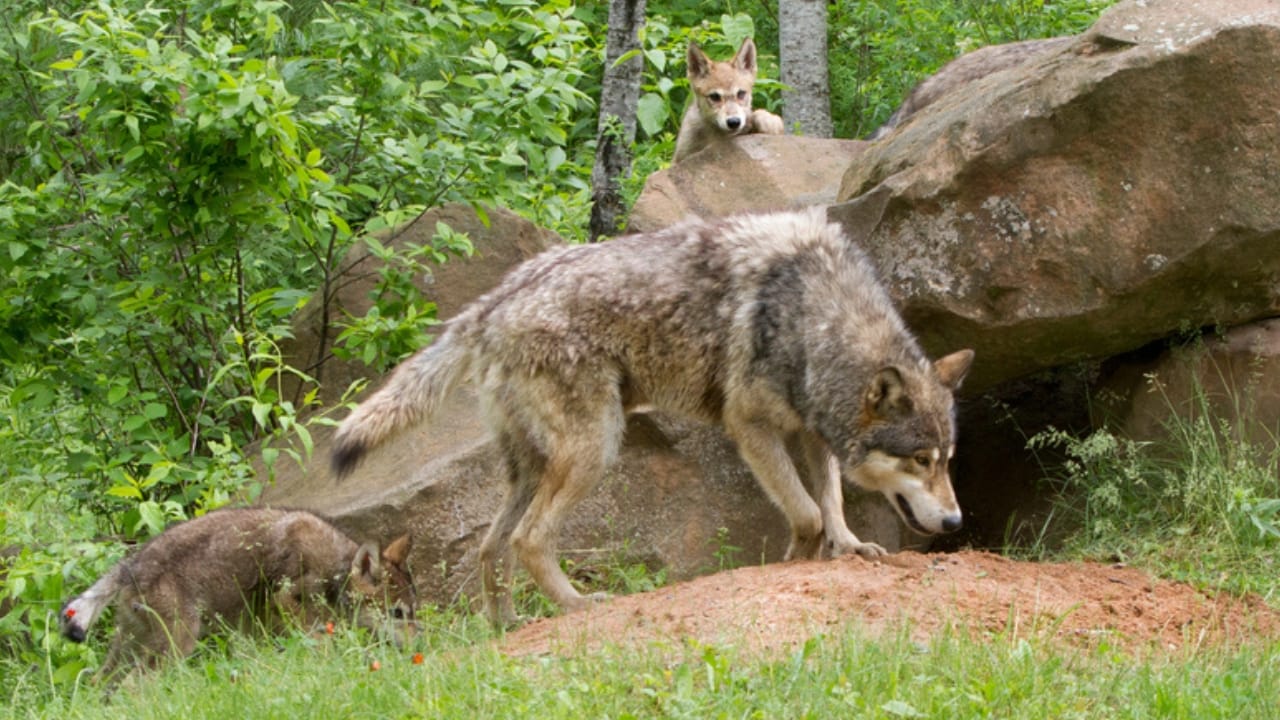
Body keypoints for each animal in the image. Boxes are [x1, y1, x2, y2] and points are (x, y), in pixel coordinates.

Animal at [60, 507, 414, 685]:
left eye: (413, 611)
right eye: (398, 613)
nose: (419, 645)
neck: (334, 569)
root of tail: (130, 565)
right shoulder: (283, 602)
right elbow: (322, 646)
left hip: (130, 649)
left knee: (98, 684)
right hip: (176, 644)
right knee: (133, 686)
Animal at [332, 208, 973, 627]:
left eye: (946, 460)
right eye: (920, 460)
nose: (954, 522)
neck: (814, 312)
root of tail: (490, 305)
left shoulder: (811, 430)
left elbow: (832, 501)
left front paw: (849, 547)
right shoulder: (751, 429)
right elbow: (808, 514)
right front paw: (796, 564)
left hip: (535, 467)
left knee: (492, 546)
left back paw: (507, 625)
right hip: (594, 452)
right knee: (527, 539)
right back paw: (577, 606)